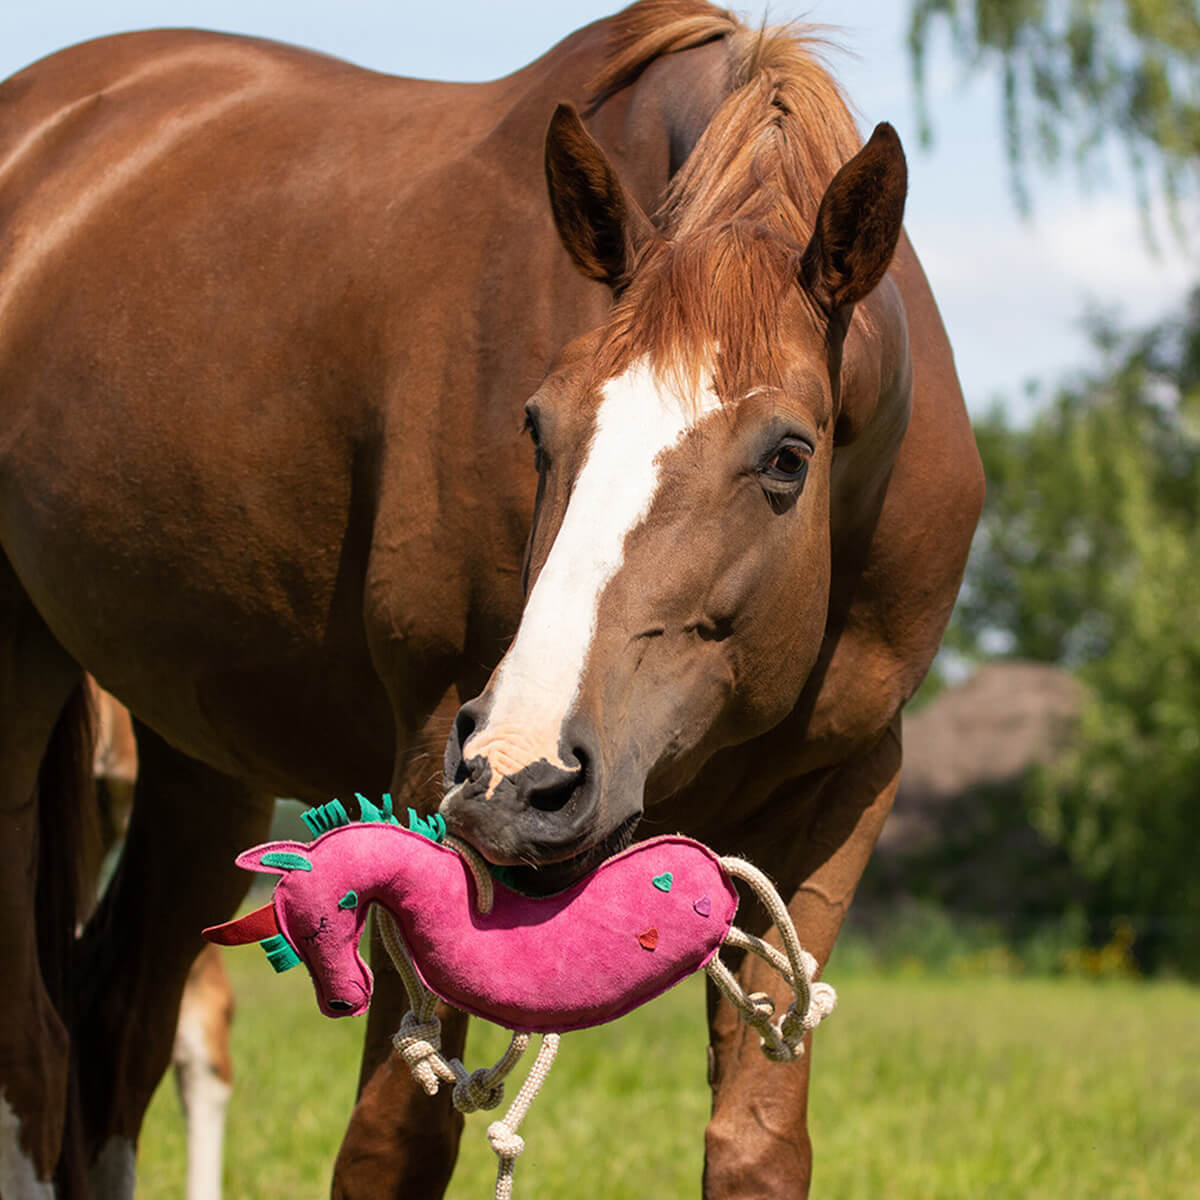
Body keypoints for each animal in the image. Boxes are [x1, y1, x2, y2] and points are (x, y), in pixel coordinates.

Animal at [0, 4, 979, 1195]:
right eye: (537, 426)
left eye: (789, 457)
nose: (524, 776)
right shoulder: (430, 753)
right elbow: (396, 1140)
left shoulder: (841, 792)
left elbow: (756, 1143)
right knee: (36, 1048)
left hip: (201, 763)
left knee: (113, 1036)